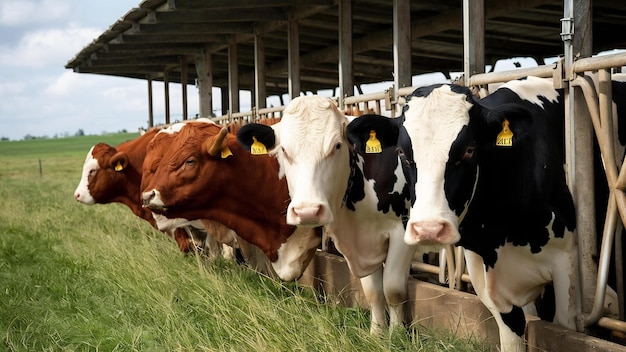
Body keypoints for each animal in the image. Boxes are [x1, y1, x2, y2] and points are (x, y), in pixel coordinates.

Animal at [236, 95, 426, 334]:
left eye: (337, 145)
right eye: (284, 150)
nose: (307, 211)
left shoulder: (402, 230)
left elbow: (393, 289)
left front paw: (397, 335)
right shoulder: (363, 244)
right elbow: (373, 292)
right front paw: (376, 333)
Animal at [346, 75, 580, 350]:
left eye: (468, 150)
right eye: (402, 152)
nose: (428, 229)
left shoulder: (566, 261)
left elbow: (565, 328)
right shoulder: (486, 276)